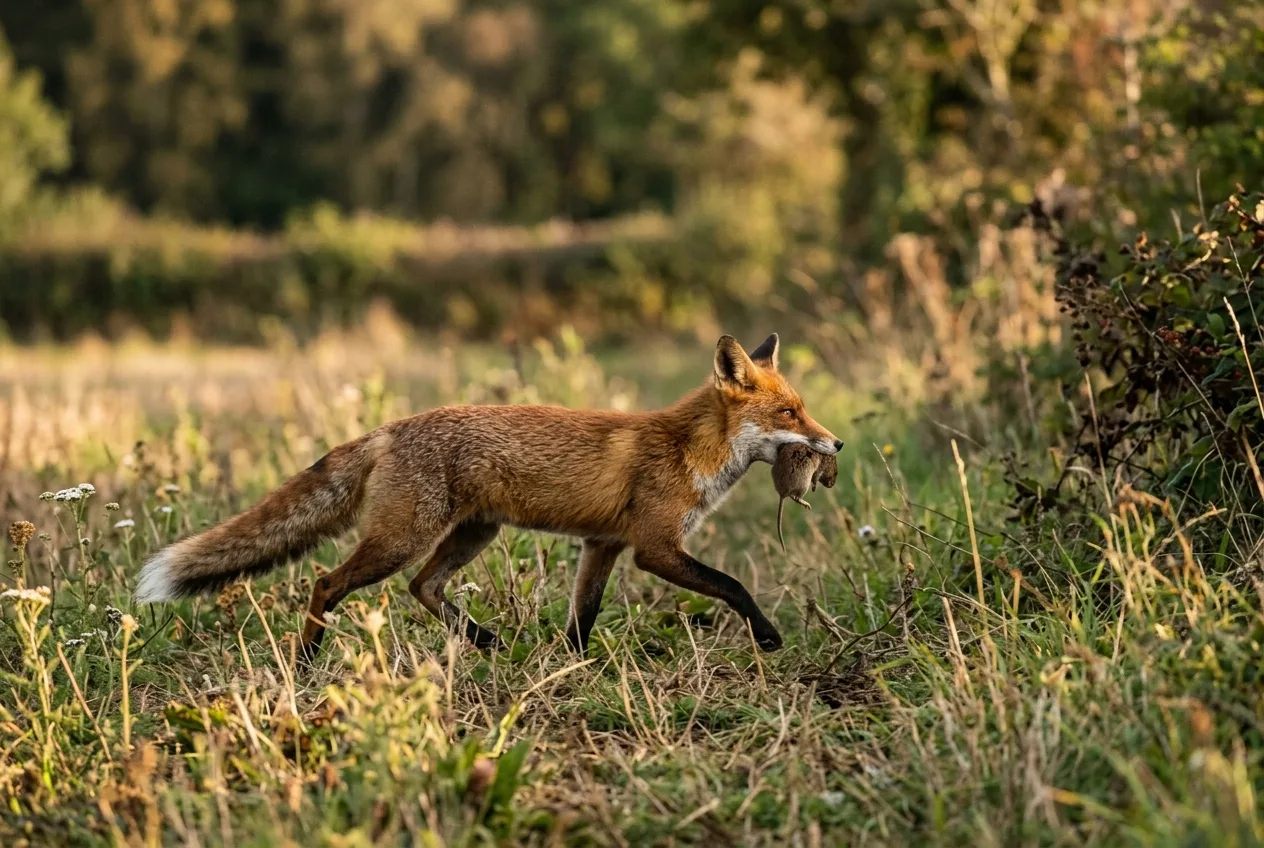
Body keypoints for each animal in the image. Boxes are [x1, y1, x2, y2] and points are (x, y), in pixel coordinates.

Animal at [133, 333, 843, 657]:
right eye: (790, 413)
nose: (834, 444)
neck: (689, 450)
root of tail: (389, 428)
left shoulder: (603, 546)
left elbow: (583, 619)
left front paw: (570, 667)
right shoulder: (653, 547)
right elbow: (733, 584)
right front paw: (768, 637)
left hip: (474, 533)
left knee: (423, 588)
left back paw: (483, 641)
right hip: (402, 538)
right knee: (328, 582)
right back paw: (307, 659)